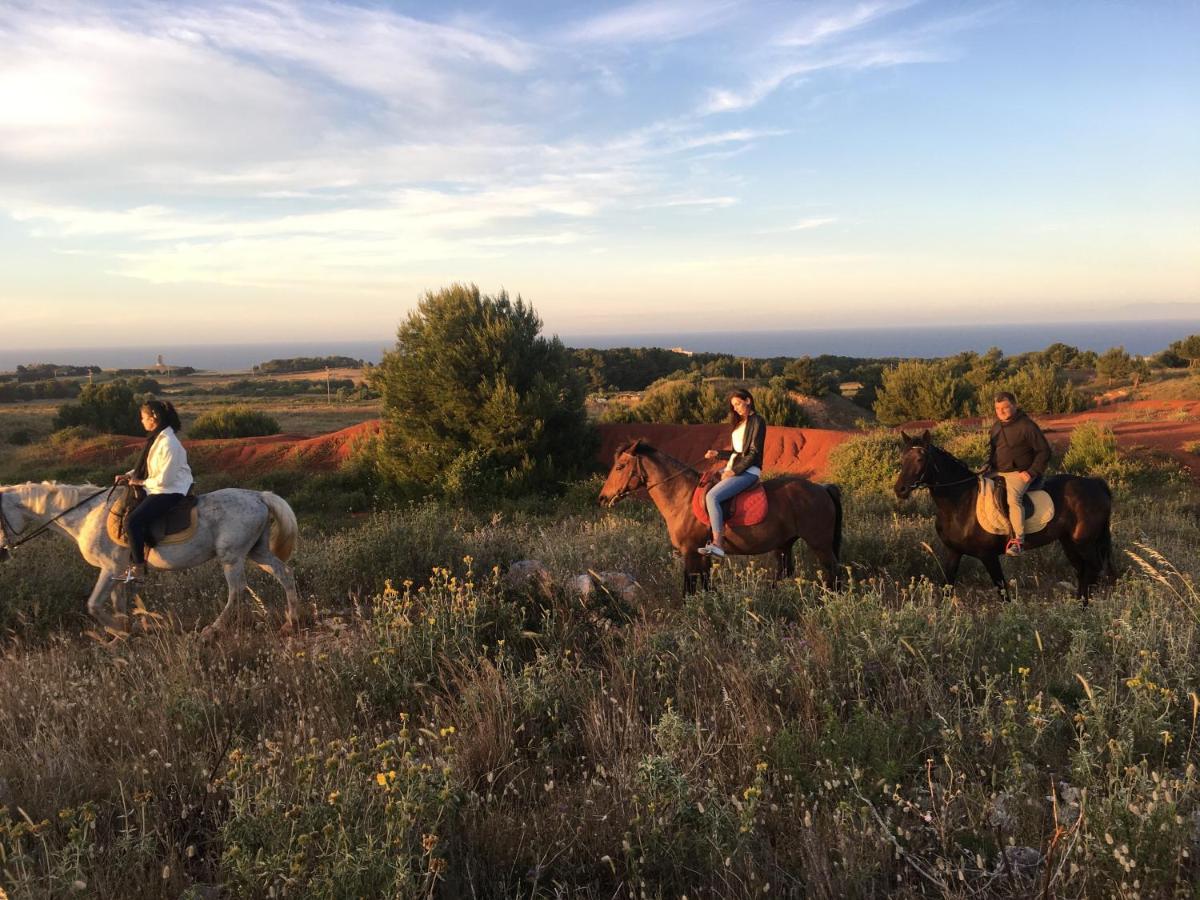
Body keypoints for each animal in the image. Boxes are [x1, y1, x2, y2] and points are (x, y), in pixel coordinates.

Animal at [1, 482, 300, 638]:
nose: (3, 551)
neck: (86, 516)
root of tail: (259, 496)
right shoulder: (119, 573)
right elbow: (118, 604)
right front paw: (123, 633)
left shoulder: (109, 569)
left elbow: (94, 606)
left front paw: (119, 632)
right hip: (256, 552)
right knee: (284, 574)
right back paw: (291, 621)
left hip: (232, 557)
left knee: (236, 591)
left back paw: (211, 629)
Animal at [597, 441, 844, 595]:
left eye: (620, 466)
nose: (602, 498)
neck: (682, 497)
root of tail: (822, 488)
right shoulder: (701, 554)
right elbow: (705, 583)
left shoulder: (690, 552)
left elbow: (689, 587)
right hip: (784, 544)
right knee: (785, 571)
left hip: (819, 544)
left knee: (833, 572)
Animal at [892, 432, 1113, 602]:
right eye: (902, 459)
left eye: (920, 459)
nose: (899, 490)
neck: (960, 502)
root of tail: (1096, 483)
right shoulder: (953, 552)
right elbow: (947, 586)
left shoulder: (988, 556)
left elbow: (1003, 593)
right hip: (1069, 542)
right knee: (1083, 572)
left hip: (1084, 543)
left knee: (1092, 569)